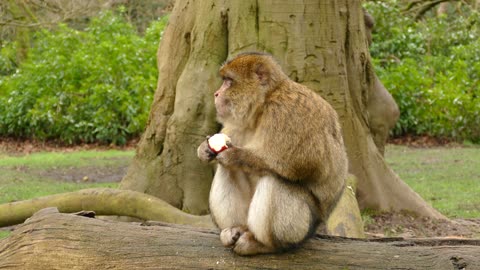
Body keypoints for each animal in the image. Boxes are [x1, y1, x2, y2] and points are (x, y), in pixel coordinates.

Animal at [197, 52, 346, 255]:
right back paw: (236, 229)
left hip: (301, 228)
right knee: (228, 170)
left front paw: (234, 156)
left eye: (228, 81)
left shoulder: (287, 112)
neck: (263, 104)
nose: (216, 94)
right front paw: (204, 149)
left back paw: (264, 244)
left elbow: (302, 163)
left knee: (274, 180)